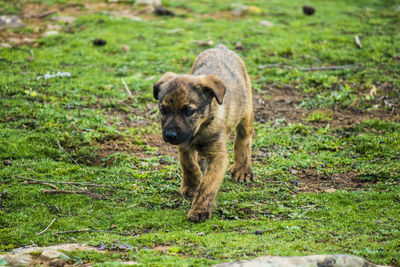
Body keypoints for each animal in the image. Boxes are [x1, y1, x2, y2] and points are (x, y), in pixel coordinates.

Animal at [153, 45, 253, 223]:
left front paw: (199, 210)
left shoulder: (217, 155)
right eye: (163, 110)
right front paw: (191, 186)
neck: (200, 129)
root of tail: (220, 47)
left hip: (246, 113)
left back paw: (243, 169)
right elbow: (188, 165)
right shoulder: (184, 144)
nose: (170, 135)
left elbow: (208, 185)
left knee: (243, 141)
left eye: (188, 111)